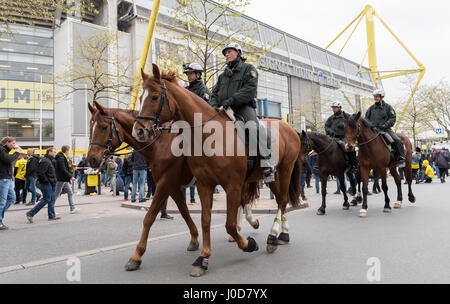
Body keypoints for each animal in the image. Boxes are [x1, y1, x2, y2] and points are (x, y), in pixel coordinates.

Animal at [86, 102, 260, 274]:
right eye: (91, 126)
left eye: (103, 127)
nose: (91, 159)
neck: (159, 143)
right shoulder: (172, 185)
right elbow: (184, 211)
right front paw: (195, 239)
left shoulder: (165, 182)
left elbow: (149, 217)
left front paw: (136, 256)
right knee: (242, 201)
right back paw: (243, 228)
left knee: (242, 200)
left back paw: (248, 225)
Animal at [132, 64, 304, 278]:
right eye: (140, 97)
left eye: (154, 97)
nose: (138, 131)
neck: (209, 135)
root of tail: (289, 128)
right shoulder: (204, 184)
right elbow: (205, 219)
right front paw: (203, 258)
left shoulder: (231, 185)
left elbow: (229, 224)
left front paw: (248, 244)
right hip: (270, 177)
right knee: (276, 199)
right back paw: (275, 233)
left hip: (285, 169)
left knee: (282, 201)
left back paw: (274, 236)